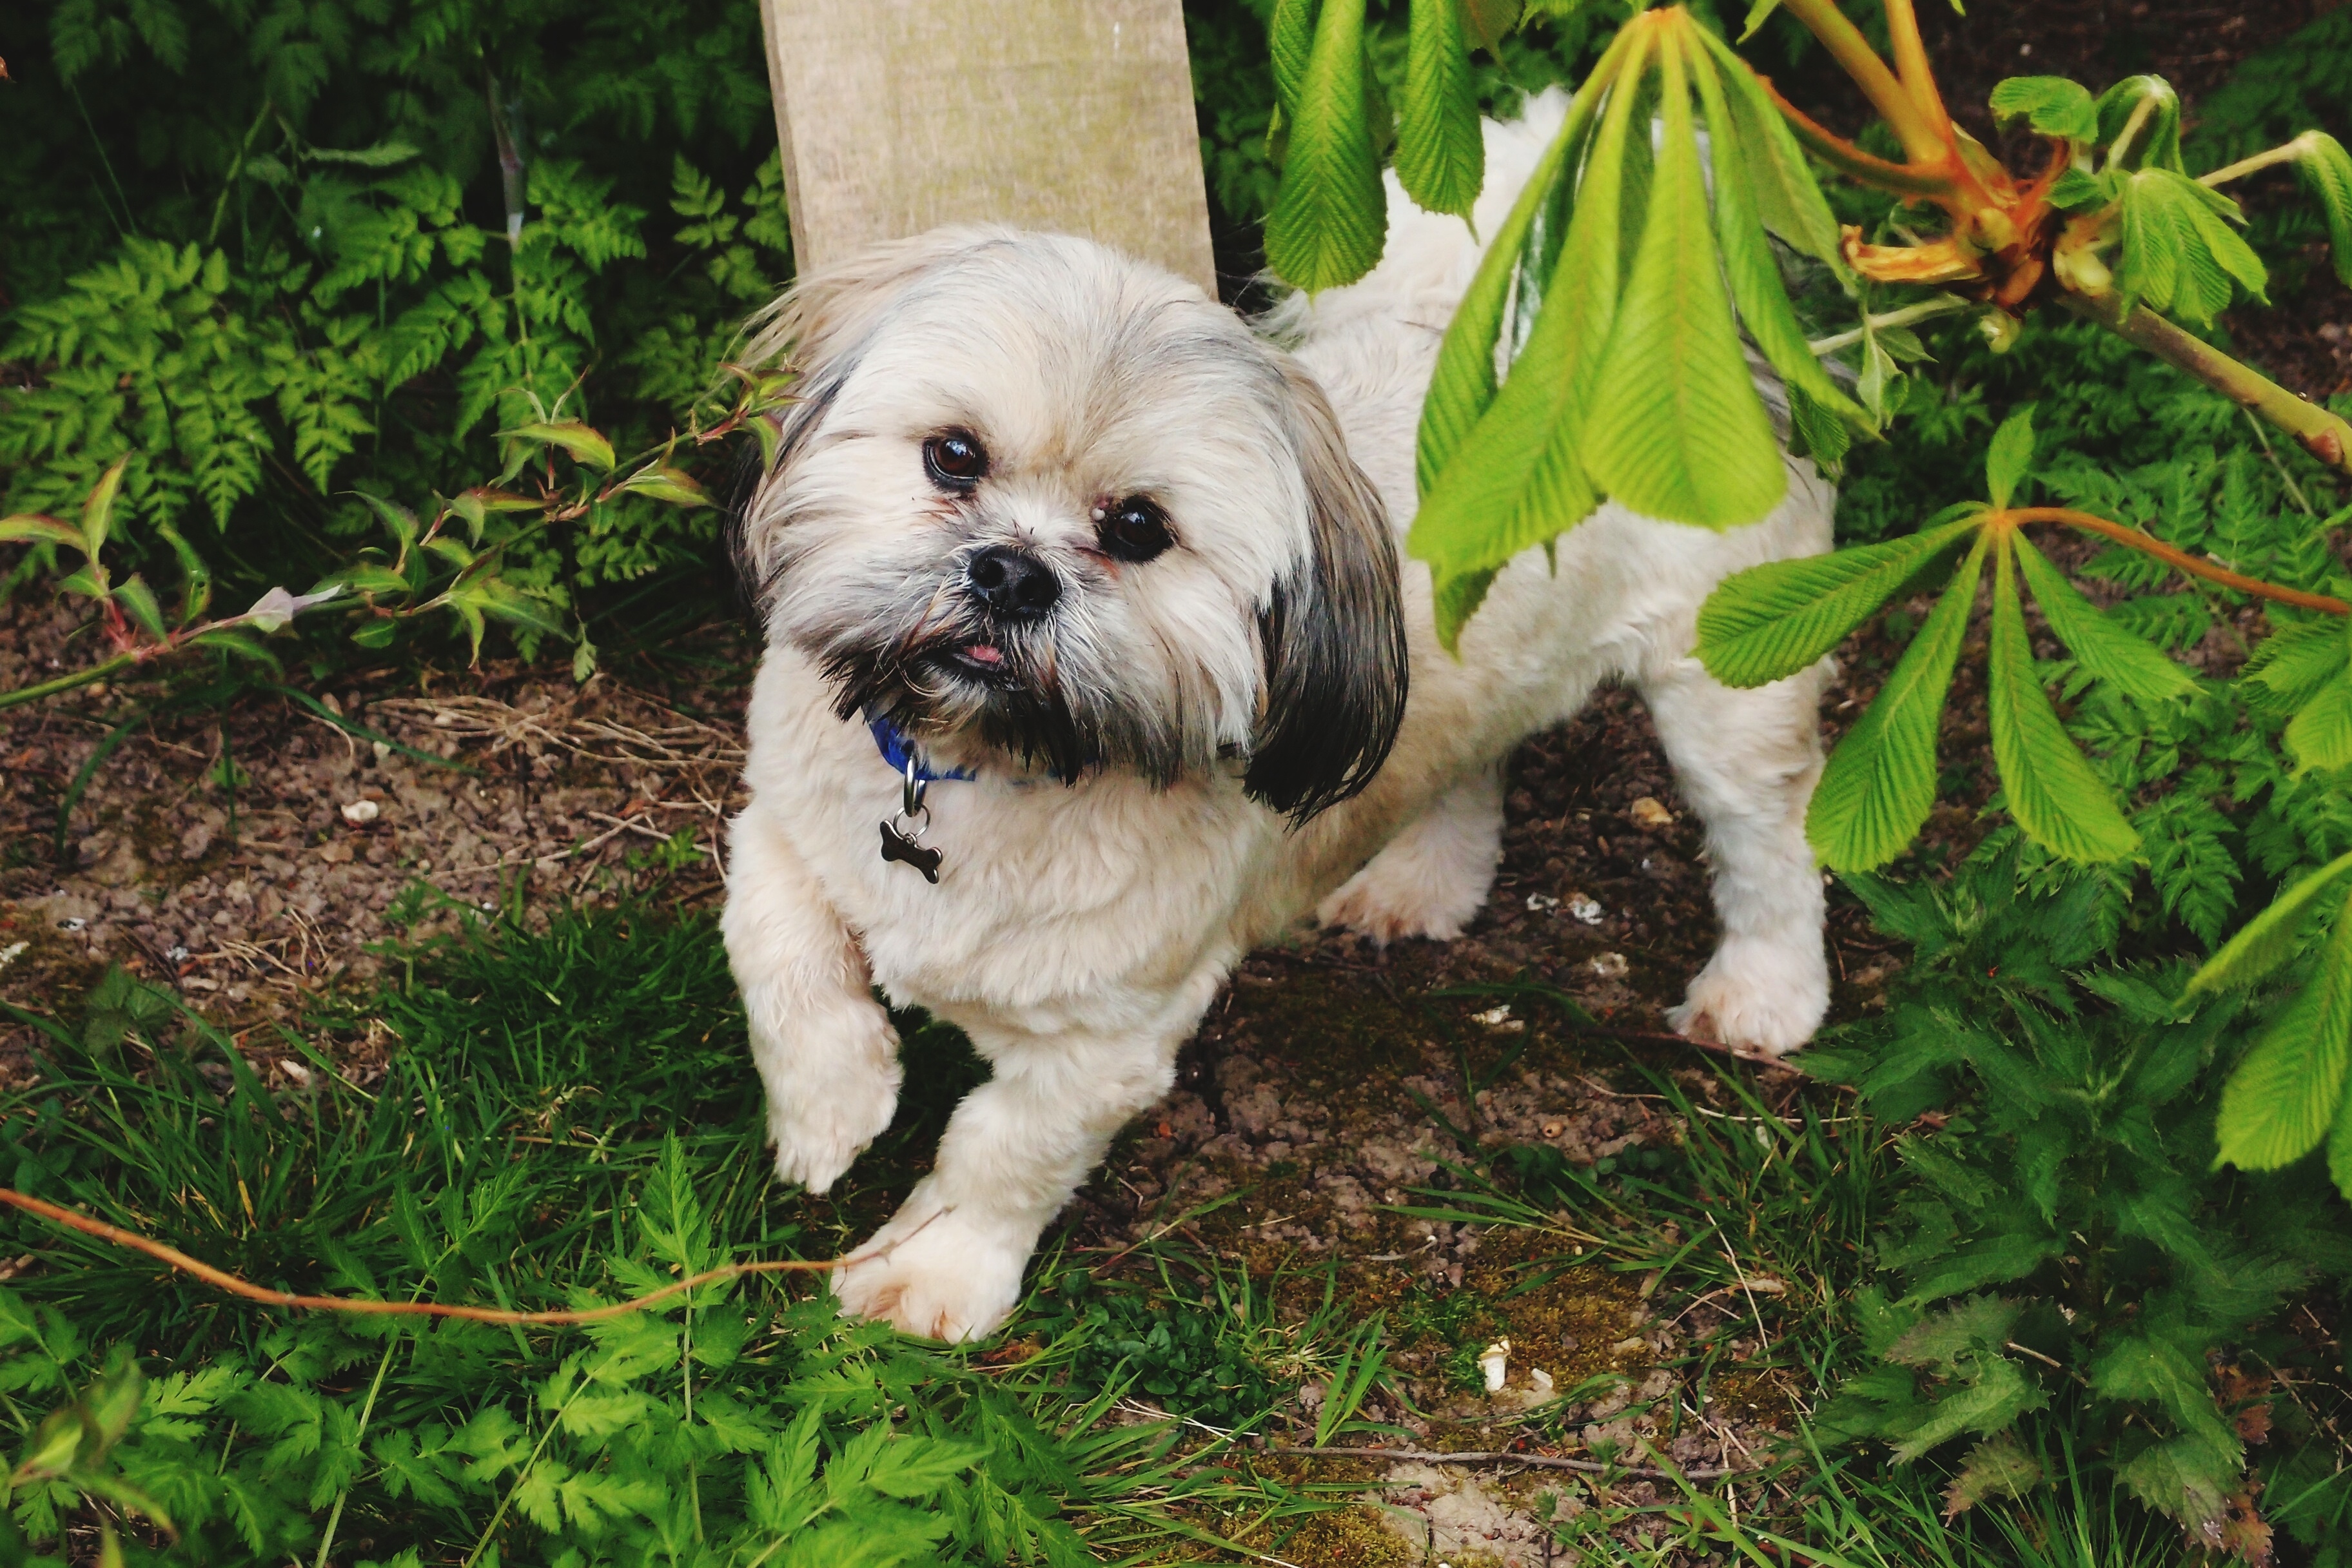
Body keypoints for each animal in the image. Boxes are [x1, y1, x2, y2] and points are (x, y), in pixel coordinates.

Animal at [724, 88, 1825, 1335]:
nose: (1011, 573)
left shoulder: (1109, 1039)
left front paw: (933, 1270)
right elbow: (779, 953)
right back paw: (1420, 885)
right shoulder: (780, 820)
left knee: (1768, 839)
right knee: (1469, 758)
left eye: (1138, 527)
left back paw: (1763, 994)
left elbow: (1001, 1150)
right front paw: (831, 1111)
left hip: (1728, 678)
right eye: (952, 455)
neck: (987, 770)